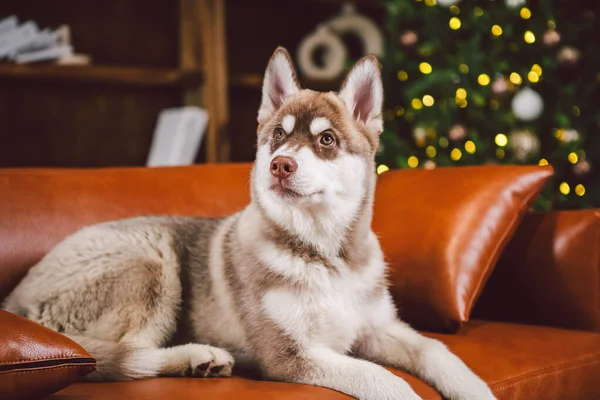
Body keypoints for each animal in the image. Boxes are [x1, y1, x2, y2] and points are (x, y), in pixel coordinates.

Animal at [2, 47, 494, 400]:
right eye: (278, 135)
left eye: (326, 140)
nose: (280, 165)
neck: (325, 255)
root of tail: (16, 298)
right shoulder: (291, 355)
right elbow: (383, 379)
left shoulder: (379, 328)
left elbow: (438, 350)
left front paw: (475, 389)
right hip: (150, 264)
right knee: (122, 357)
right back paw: (196, 356)